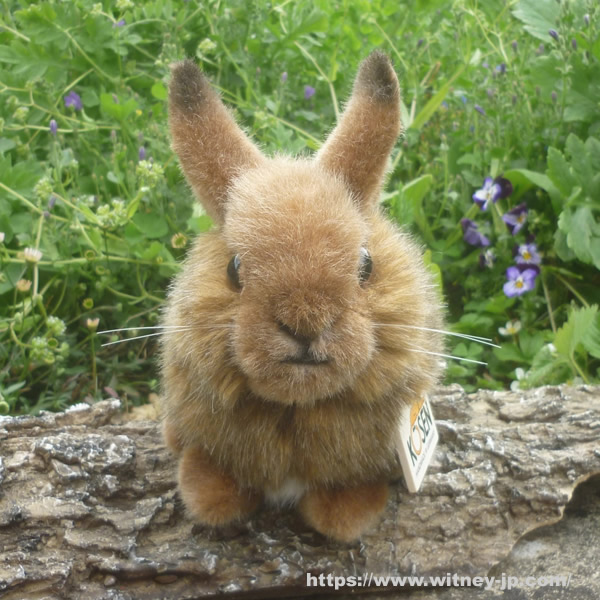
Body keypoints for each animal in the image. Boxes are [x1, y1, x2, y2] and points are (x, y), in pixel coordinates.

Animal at [162, 50, 442, 540]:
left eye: (366, 265)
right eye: (234, 269)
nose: (305, 323)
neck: (296, 402)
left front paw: (346, 512)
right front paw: (208, 492)